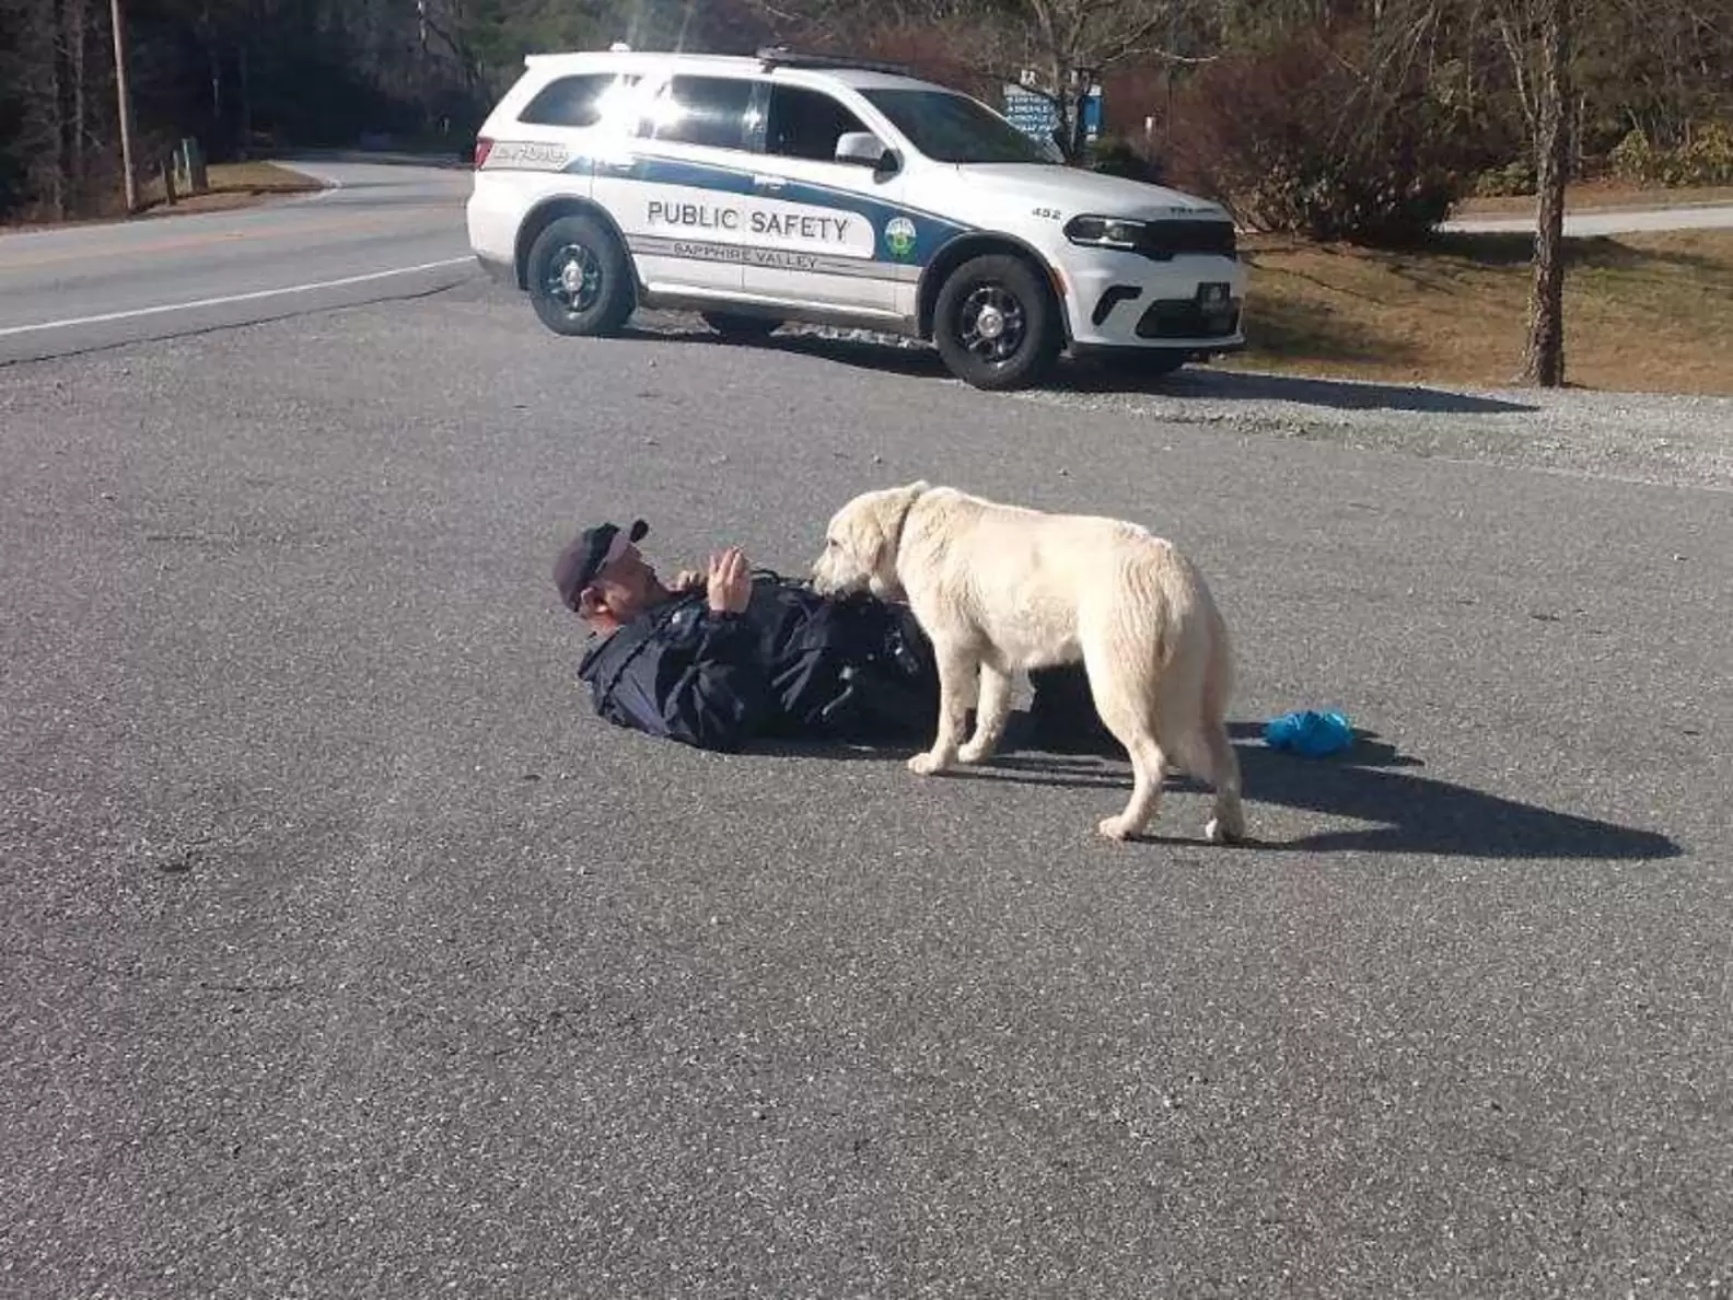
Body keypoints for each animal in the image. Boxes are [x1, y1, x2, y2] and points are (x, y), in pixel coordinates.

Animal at [811, 481, 1247, 845]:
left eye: (834, 543)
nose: (812, 580)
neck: (910, 525)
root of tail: (1176, 577)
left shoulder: (952, 648)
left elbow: (949, 716)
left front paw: (938, 761)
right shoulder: (996, 657)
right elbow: (990, 713)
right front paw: (975, 752)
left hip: (1117, 687)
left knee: (1153, 762)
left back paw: (1128, 826)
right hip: (1200, 697)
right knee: (1226, 762)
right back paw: (1228, 825)